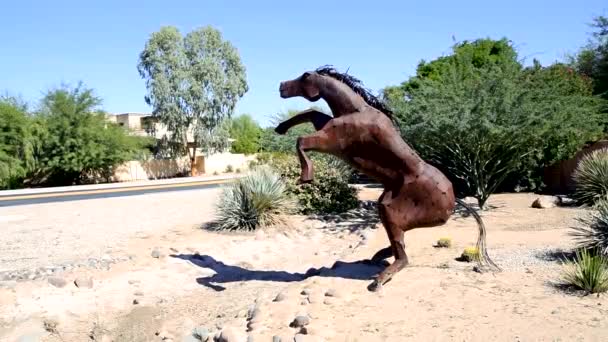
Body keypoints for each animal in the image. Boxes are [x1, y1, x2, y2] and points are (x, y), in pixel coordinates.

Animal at [274, 65, 498, 292]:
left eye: (305, 76)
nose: (281, 86)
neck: (355, 110)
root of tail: (454, 198)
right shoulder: (326, 126)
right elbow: (311, 113)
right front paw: (281, 128)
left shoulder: (332, 141)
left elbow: (301, 140)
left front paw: (306, 177)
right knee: (399, 244)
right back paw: (377, 259)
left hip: (389, 210)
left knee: (403, 255)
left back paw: (378, 280)